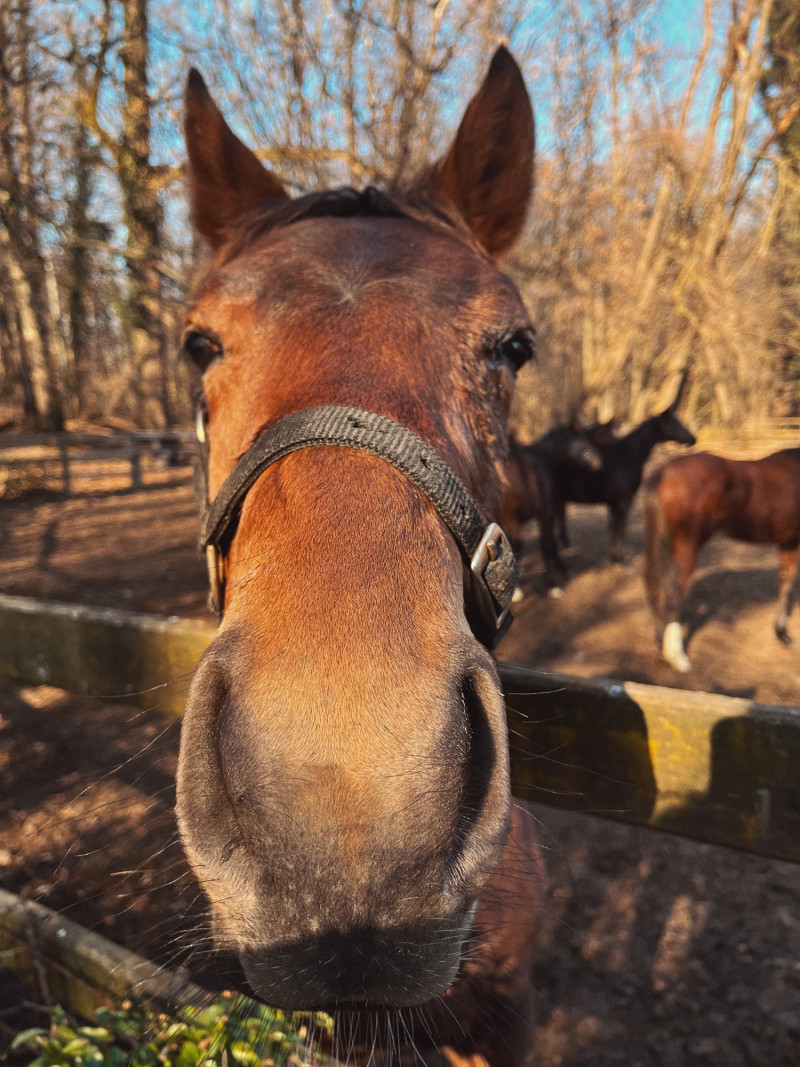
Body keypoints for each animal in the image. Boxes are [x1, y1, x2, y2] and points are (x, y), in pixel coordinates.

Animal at [550, 379, 695, 563]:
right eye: (674, 423)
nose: (693, 439)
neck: (628, 455)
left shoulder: (614, 502)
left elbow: (614, 527)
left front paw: (614, 556)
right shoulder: (624, 499)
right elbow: (620, 526)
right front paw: (623, 556)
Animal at [648, 446, 800, 670]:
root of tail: (665, 470)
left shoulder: (789, 543)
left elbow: (785, 583)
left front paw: (782, 634)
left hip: (668, 544)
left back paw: (661, 645)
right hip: (688, 546)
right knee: (674, 591)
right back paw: (677, 656)